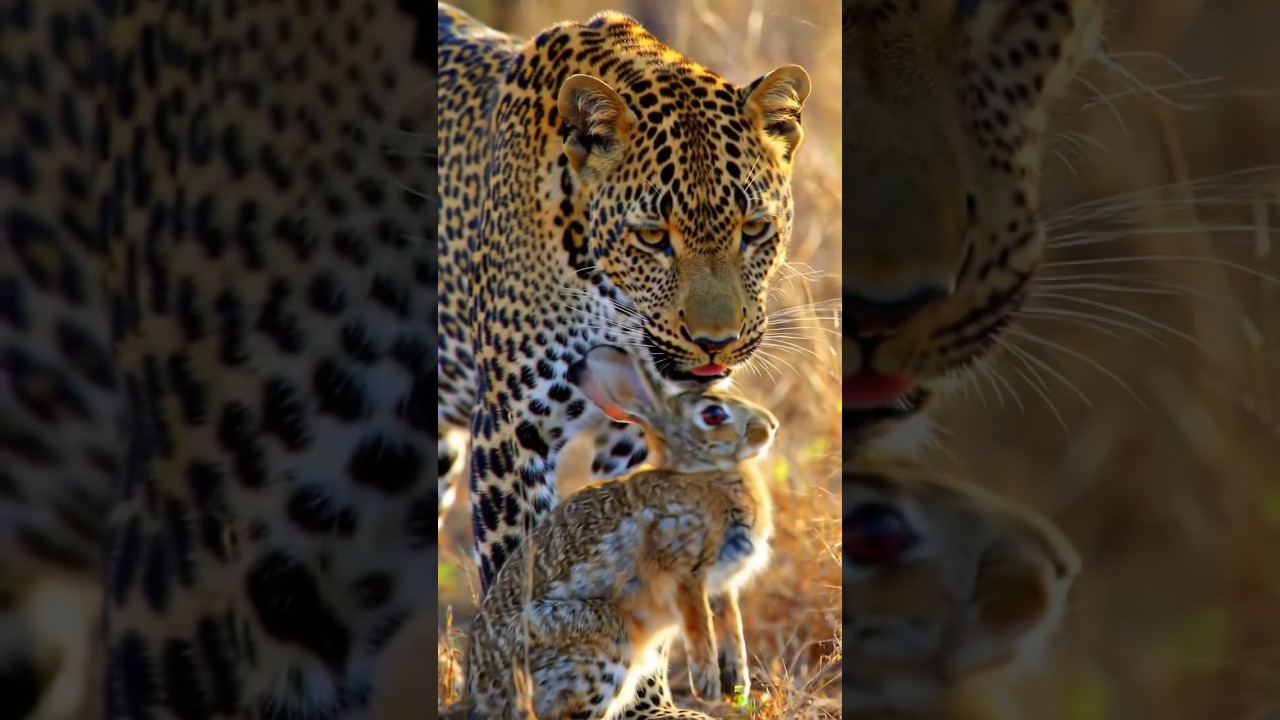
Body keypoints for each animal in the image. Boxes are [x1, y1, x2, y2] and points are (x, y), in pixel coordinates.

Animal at [432, 344, 779, 720]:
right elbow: (698, 625)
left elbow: (732, 627)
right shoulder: (683, 569)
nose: (770, 426)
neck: (700, 473)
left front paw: (737, 685)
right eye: (713, 414)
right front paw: (708, 686)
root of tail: (482, 696)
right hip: (604, 637)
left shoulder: (722, 585)